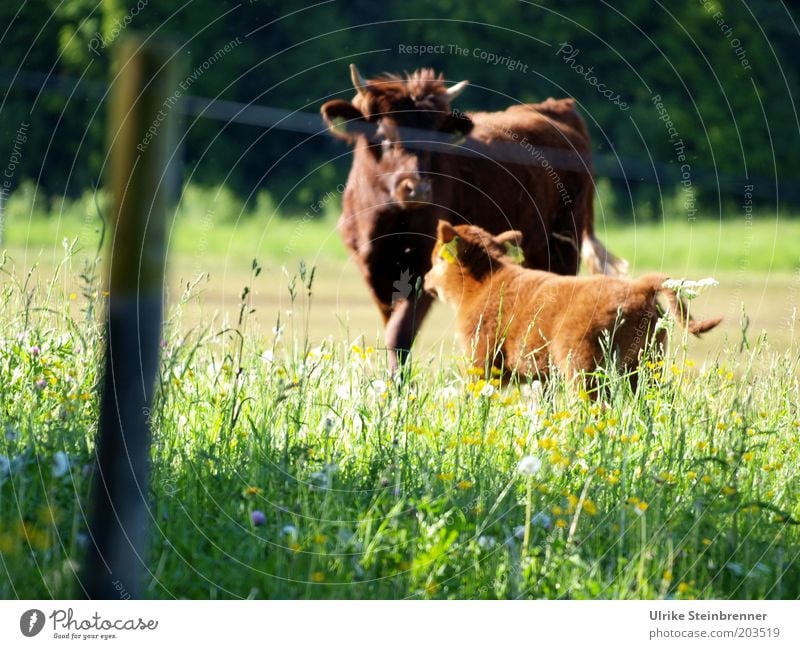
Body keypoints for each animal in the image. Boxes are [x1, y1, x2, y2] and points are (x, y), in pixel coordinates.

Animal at [318, 67, 624, 370]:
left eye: (435, 140)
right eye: (382, 133)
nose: (417, 188)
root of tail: (557, 107)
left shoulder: (422, 268)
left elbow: (399, 335)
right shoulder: (374, 271)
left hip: (562, 244)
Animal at [422, 220, 720, 388]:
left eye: (437, 259)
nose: (425, 279)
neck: (485, 280)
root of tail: (638, 286)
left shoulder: (480, 360)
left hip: (583, 368)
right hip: (645, 366)